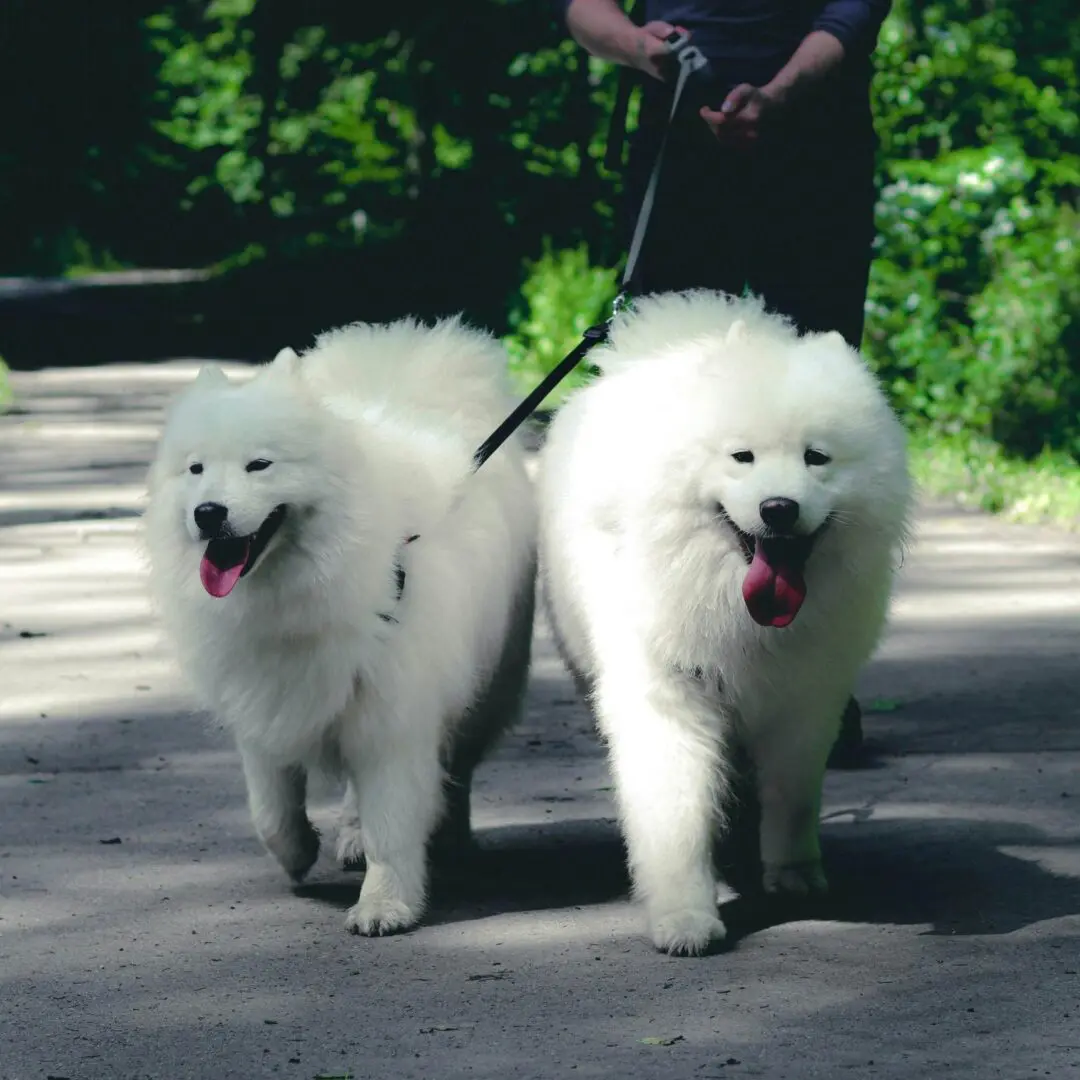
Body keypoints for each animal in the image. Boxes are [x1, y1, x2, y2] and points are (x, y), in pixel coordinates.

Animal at [141, 315, 537, 937]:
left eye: (260, 465)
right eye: (196, 469)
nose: (208, 513)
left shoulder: (396, 715)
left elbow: (394, 823)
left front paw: (385, 906)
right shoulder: (264, 704)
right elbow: (269, 809)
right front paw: (297, 853)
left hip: (486, 681)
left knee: (459, 768)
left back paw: (449, 836)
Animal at [537, 291, 911, 959]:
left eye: (816, 458)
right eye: (743, 457)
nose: (778, 508)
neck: (738, 610)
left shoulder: (806, 697)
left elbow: (793, 794)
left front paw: (794, 873)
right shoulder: (669, 691)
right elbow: (674, 811)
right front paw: (685, 916)